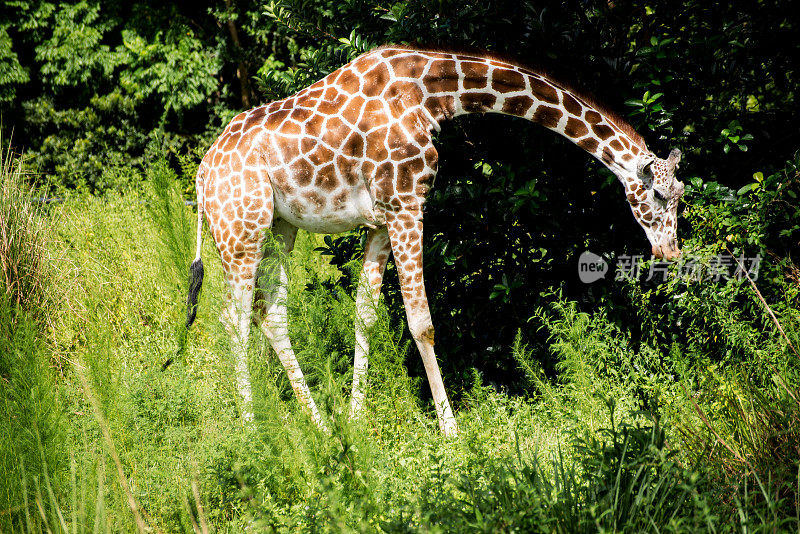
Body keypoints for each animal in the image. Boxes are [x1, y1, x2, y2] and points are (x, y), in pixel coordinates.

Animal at [184, 42, 684, 436]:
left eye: (682, 194)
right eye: (659, 195)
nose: (670, 253)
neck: (434, 92)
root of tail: (202, 177)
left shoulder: (381, 218)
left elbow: (365, 314)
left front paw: (356, 419)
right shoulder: (407, 203)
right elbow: (421, 321)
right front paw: (450, 429)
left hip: (278, 228)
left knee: (271, 313)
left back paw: (318, 425)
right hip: (240, 230)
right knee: (233, 319)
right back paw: (251, 429)